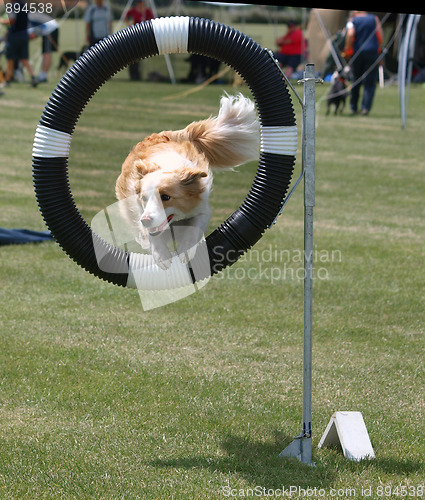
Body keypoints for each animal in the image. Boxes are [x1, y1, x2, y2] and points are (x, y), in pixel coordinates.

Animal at [115, 93, 258, 270]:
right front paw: (162, 256)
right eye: (144, 198)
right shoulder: (140, 212)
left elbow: (193, 228)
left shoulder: (202, 209)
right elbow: (152, 235)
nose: (146, 220)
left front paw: (184, 251)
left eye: (166, 197)